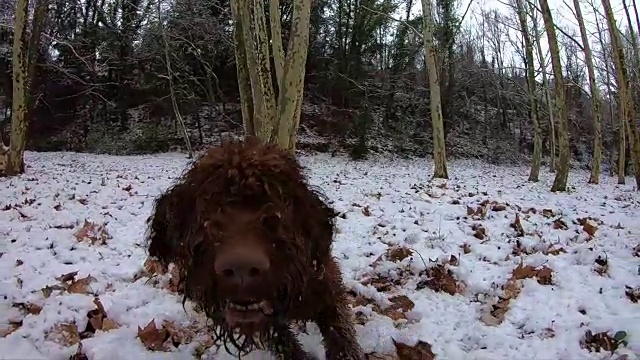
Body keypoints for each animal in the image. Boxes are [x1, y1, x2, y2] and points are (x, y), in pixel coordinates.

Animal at [146, 137, 364, 360]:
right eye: (207, 218)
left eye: (274, 216)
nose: (240, 268)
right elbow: (282, 341)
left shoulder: (326, 284)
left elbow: (338, 328)